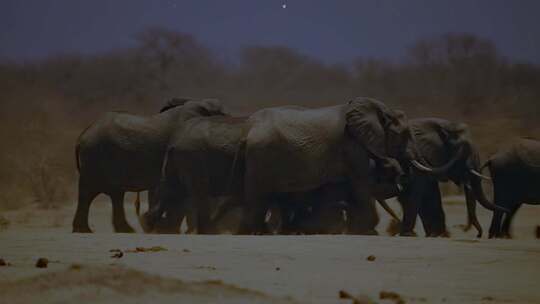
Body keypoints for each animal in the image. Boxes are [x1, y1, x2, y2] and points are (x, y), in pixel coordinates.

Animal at [71, 97, 224, 233]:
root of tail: (82, 135)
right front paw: (169, 230)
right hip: (93, 156)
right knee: (88, 193)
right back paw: (83, 230)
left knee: (116, 194)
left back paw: (127, 230)